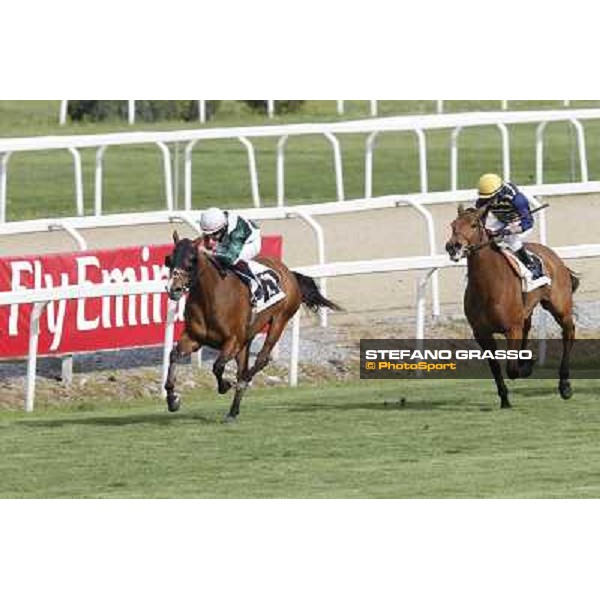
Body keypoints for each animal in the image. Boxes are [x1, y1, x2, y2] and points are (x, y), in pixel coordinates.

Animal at [164, 231, 342, 422]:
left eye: (192, 260)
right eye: (169, 259)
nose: (174, 289)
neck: (211, 297)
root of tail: (289, 272)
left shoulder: (233, 341)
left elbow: (217, 366)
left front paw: (225, 385)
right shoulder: (194, 338)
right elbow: (173, 355)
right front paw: (173, 399)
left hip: (279, 321)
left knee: (260, 361)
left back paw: (242, 383)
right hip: (247, 340)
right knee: (244, 367)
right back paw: (233, 411)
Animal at [446, 205, 576, 408]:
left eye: (474, 224)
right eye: (453, 225)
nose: (453, 246)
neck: (487, 285)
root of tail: (553, 255)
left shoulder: (511, 329)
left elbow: (512, 368)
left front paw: (527, 367)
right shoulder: (482, 333)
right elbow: (495, 367)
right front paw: (505, 399)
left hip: (560, 307)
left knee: (568, 333)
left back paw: (564, 385)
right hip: (526, 312)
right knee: (528, 328)